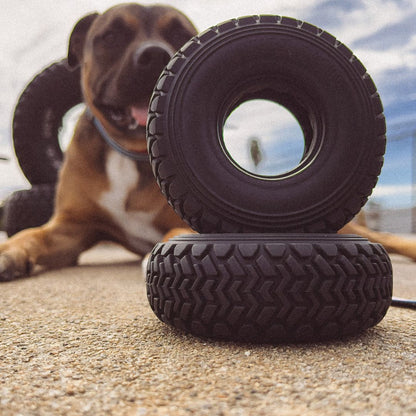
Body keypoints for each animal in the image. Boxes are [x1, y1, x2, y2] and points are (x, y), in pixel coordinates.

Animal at [0, 2, 197, 280]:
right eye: (112, 36)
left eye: (180, 34)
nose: (156, 55)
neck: (129, 153)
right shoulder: (71, 226)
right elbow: (31, 234)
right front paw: (8, 250)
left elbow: (183, 232)